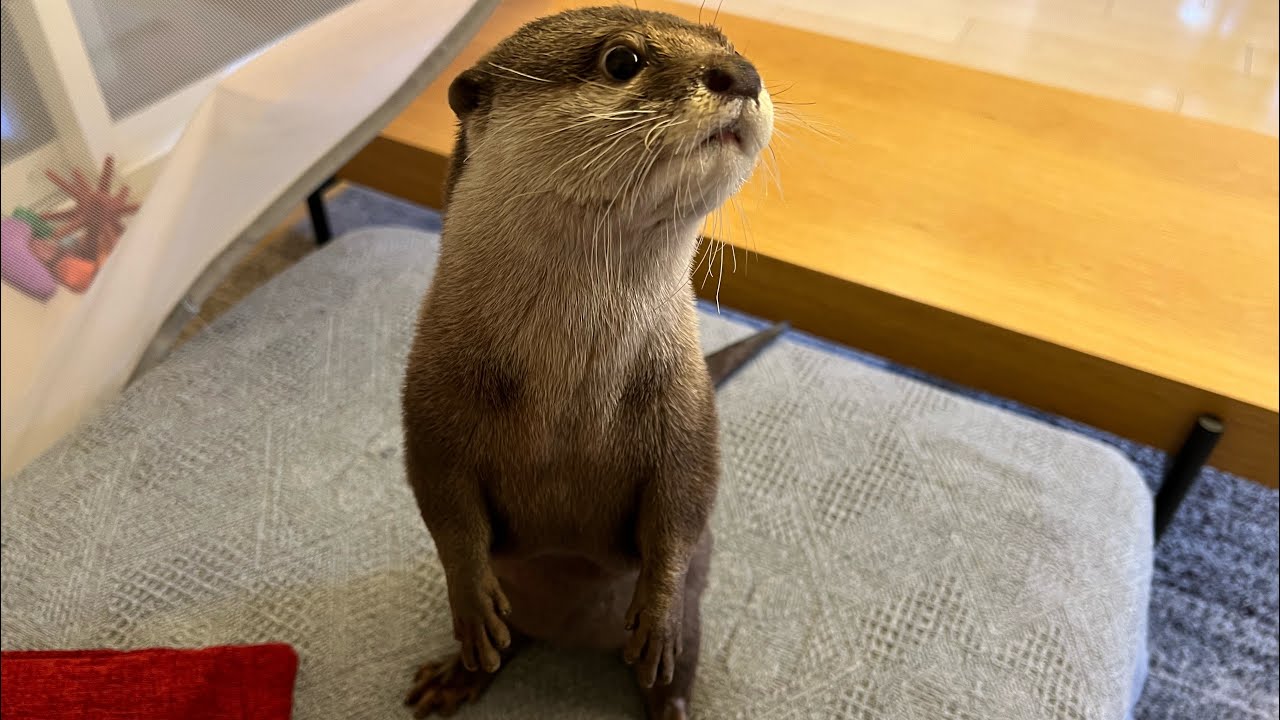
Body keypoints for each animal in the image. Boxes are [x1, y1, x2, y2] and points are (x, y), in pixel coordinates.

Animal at [401, 6, 776, 718]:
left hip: (697, 623)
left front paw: (655, 615)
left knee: (677, 668)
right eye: (622, 60)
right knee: (501, 648)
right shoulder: (431, 394)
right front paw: (471, 597)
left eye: (734, 45)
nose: (743, 73)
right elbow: (441, 500)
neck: (569, 370)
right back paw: (457, 673)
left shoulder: (689, 411)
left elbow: (686, 505)